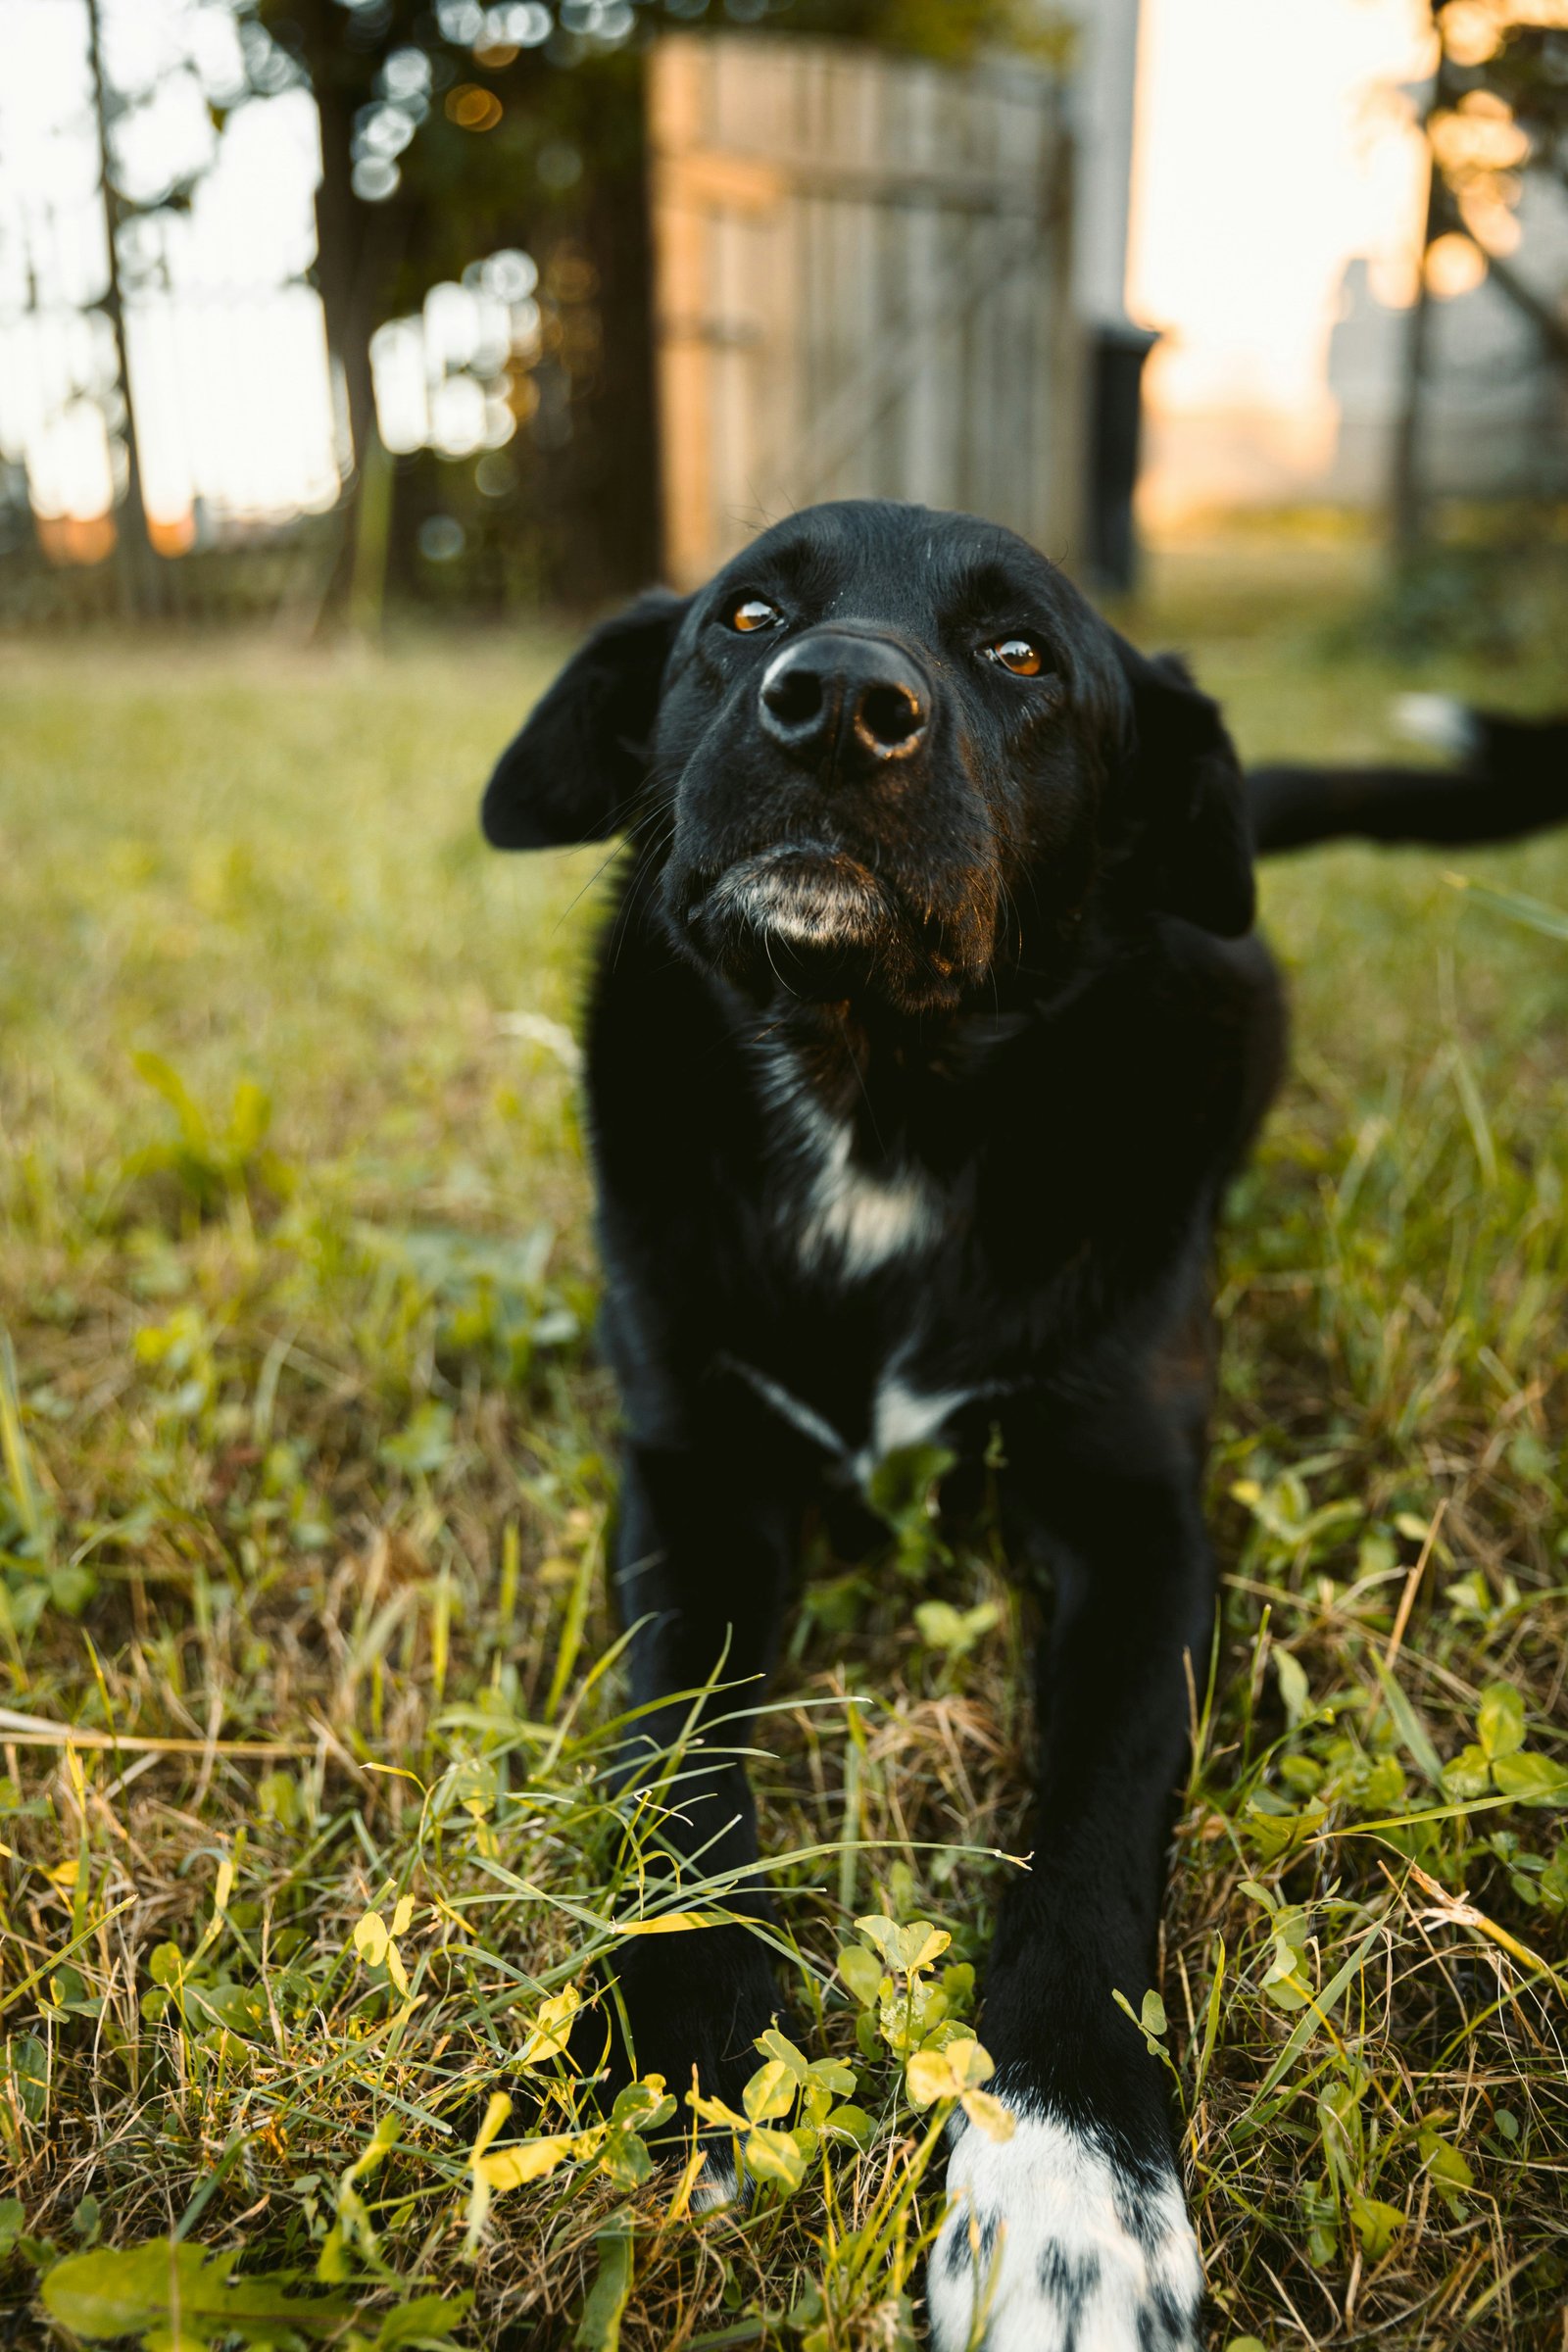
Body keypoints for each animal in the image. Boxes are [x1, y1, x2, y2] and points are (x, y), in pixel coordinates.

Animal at [484, 501, 1560, 2352]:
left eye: (1020, 655)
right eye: (743, 616)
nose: (835, 703)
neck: (881, 1100)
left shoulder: (1140, 1526)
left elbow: (1090, 1837)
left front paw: (1071, 2197)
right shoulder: (689, 1476)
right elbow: (674, 1741)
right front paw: (694, 2039)